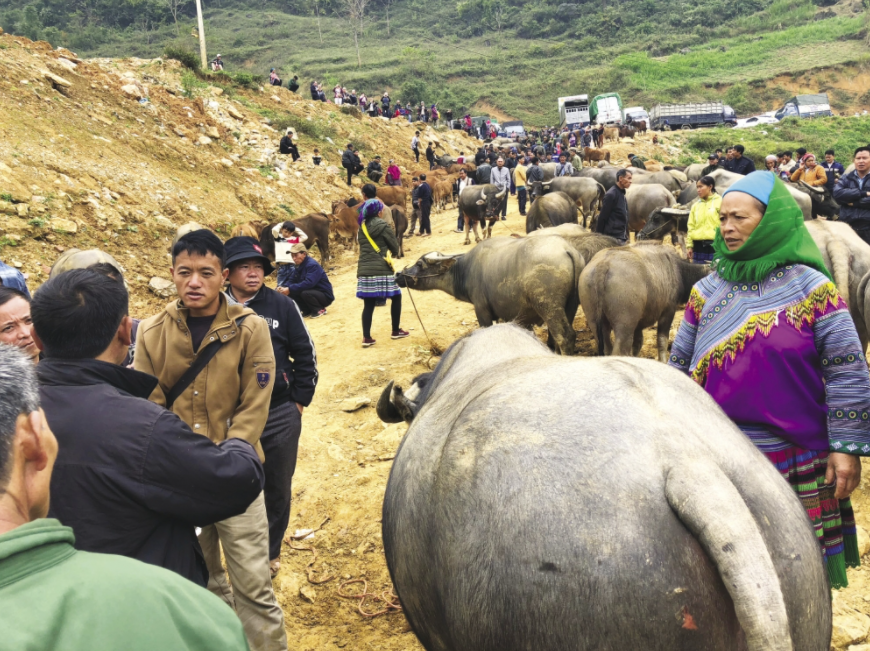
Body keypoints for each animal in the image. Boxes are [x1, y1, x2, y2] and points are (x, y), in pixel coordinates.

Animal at [395, 235, 583, 355]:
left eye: (419, 264)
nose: (398, 275)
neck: (465, 270)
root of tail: (567, 250)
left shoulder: (482, 311)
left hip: (549, 307)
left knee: (565, 336)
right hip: (570, 306)